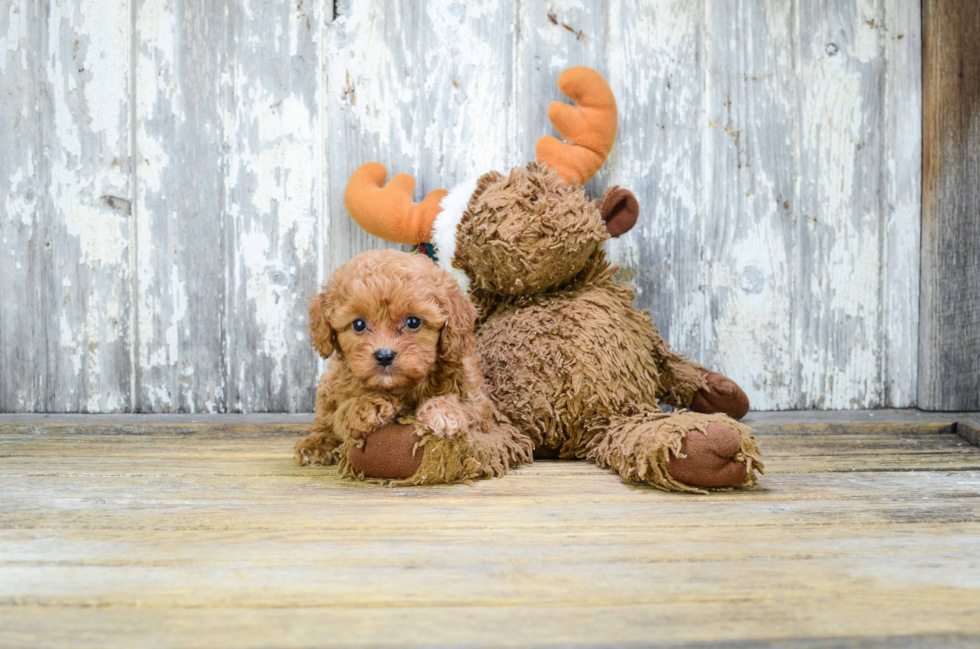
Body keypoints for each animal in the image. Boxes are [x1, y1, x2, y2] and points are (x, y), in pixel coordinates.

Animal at [294, 251, 532, 484]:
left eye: (413, 322)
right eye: (358, 324)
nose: (384, 355)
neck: (402, 386)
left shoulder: (478, 404)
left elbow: (466, 407)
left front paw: (443, 412)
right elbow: (343, 413)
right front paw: (369, 405)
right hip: (328, 385)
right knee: (325, 419)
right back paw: (314, 445)